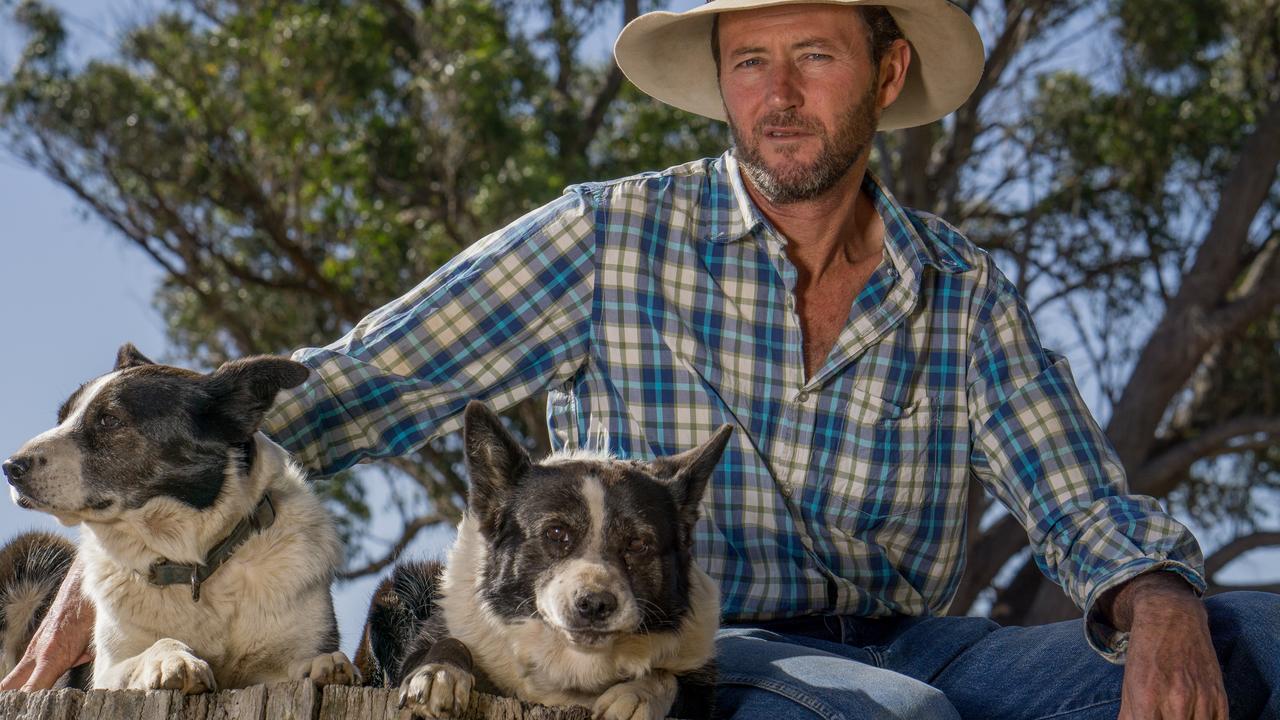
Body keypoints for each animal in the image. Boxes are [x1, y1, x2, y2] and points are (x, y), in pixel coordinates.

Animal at [2, 345, 360, 691]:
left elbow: (295, 664)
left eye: (109, 420)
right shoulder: (104, 673)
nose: (10, 467)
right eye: (61, 418)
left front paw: (321, 664)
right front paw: (172, 659)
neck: (191, 563)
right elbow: (155, 646)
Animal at [355, 399, 727, 717]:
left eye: (637, 543)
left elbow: (667, 675)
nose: (595, 605)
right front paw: (438, 674)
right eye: (556, 533)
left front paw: (636, 695)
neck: (572, 660)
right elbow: (450, 641)